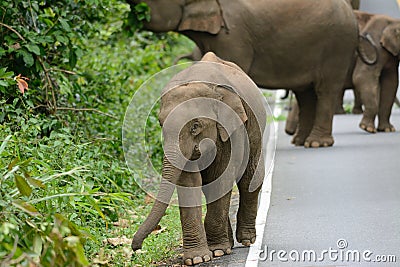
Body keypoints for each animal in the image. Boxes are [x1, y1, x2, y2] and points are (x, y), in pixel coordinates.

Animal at [126, 0, 358, 149]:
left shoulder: (233, 35)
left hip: (337, 45)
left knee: (325, 89)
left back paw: (316, 143)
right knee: (306, 93)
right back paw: (301, 142)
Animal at [131, 52, 268, 266]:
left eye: (195, 126)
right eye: (161, 125)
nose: (136, 248)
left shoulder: (231, 129)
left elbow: (222, 177)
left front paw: (217, 251)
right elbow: (190, 181)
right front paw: (197, 258)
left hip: (255, 131)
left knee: (249, 179)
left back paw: (246, 240)